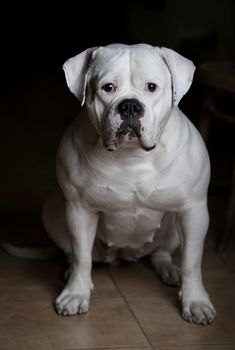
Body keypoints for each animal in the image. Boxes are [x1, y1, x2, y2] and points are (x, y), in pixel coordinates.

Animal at [41, 43, 216, 326]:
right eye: (108, 87)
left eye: (152, 87)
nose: (130, 106)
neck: (132, 158)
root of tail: (124, 255)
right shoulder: (79, 209)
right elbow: (81, 256)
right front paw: (76, 293)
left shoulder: (194, 211)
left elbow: (192, 261)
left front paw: (196, 302)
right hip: (54, 210)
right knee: (75, 254)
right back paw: (69, 273)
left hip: (175, 223)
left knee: (161, 253)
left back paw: (170, 270)